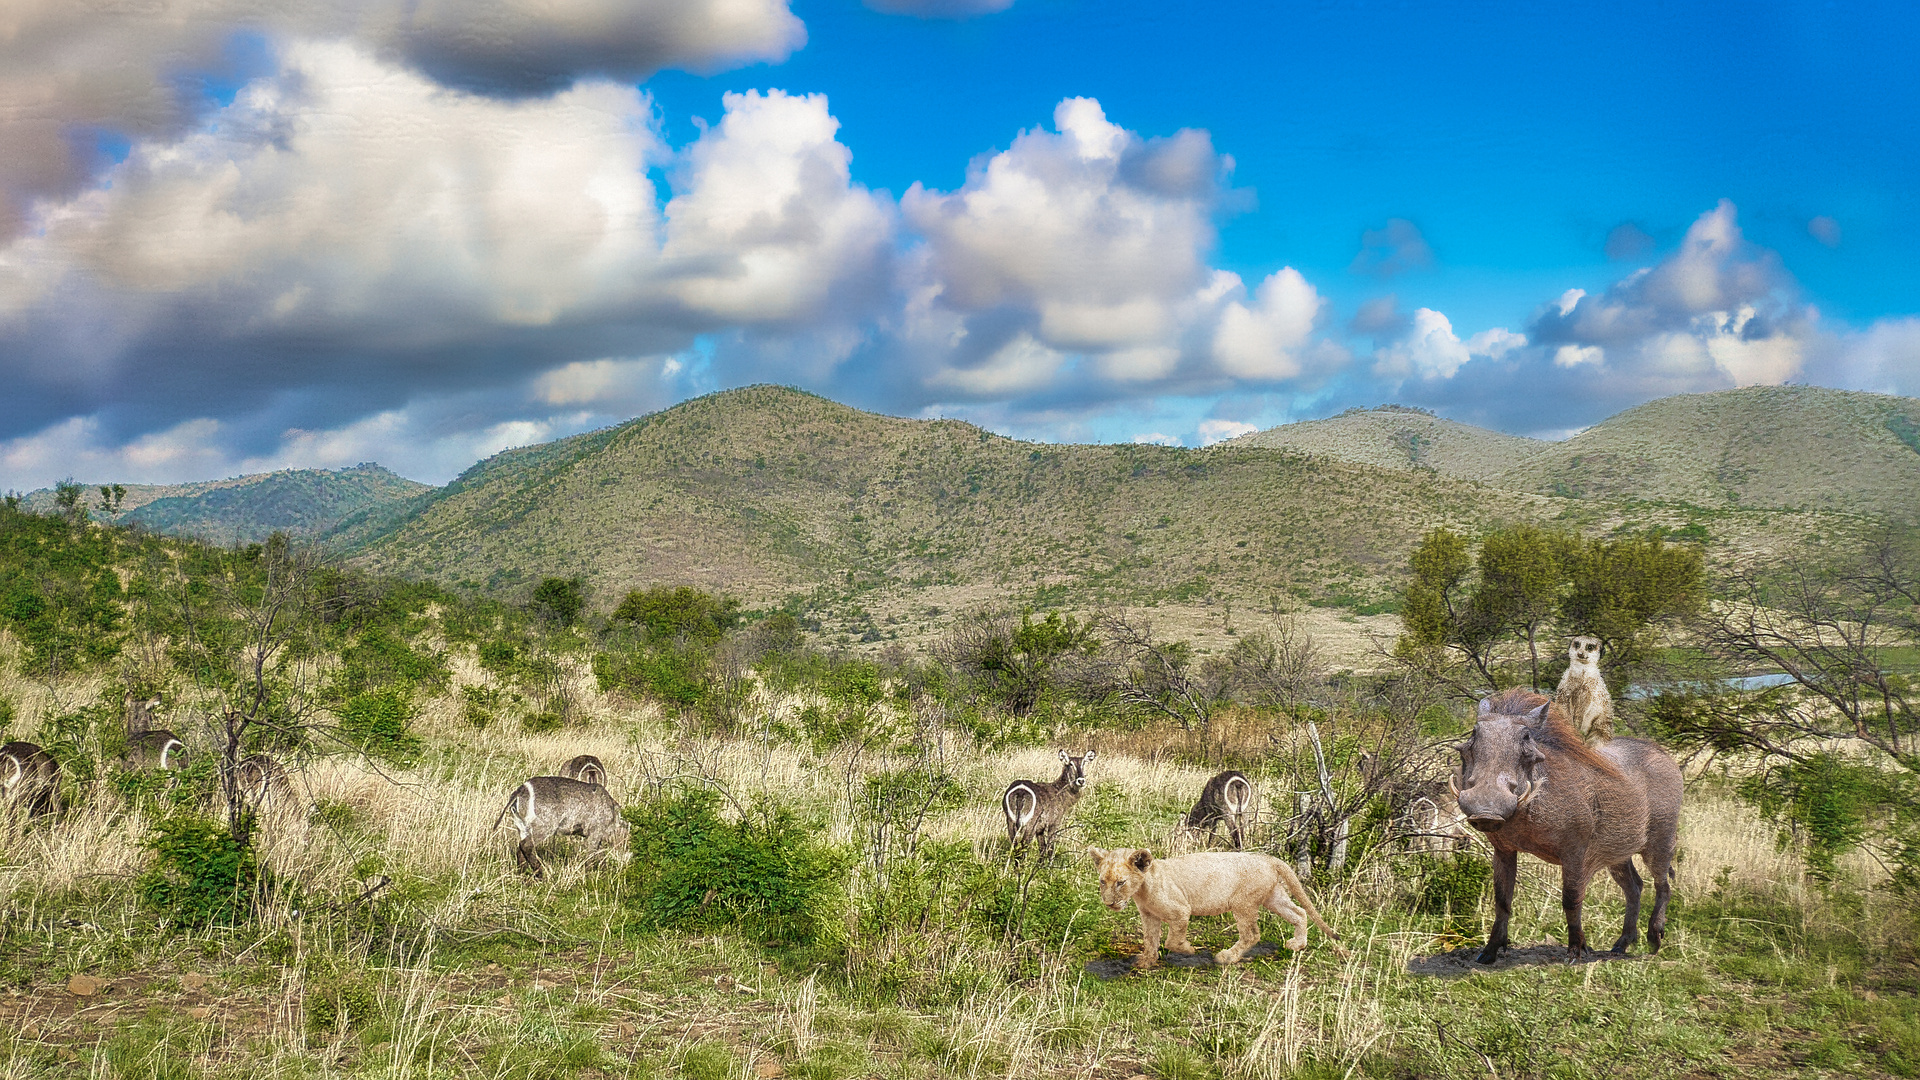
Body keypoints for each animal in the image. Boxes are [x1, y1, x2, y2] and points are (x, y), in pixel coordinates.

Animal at [487, 772, 629, 876]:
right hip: (543, 827)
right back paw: (539, 873)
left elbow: (599, 856)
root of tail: (522, 789)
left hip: (522, 827)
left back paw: (523, 874)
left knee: (520, 849)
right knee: (526, 845)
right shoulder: (595, 833)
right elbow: (590, 856)